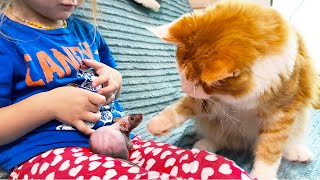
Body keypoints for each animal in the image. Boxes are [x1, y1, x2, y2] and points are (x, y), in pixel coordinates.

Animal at [146, 0, 318, 179]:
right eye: (182, 74)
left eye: (197, 83)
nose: (184, 89)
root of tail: (244, 143)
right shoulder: (214, 101)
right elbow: (186, 106)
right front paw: (160, 122)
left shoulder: (281, 112)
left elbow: (271, 145)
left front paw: (263, 174)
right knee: (219, 138)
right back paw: (204, 145)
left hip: (300, 120)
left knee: (286, 142)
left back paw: (297, 152)